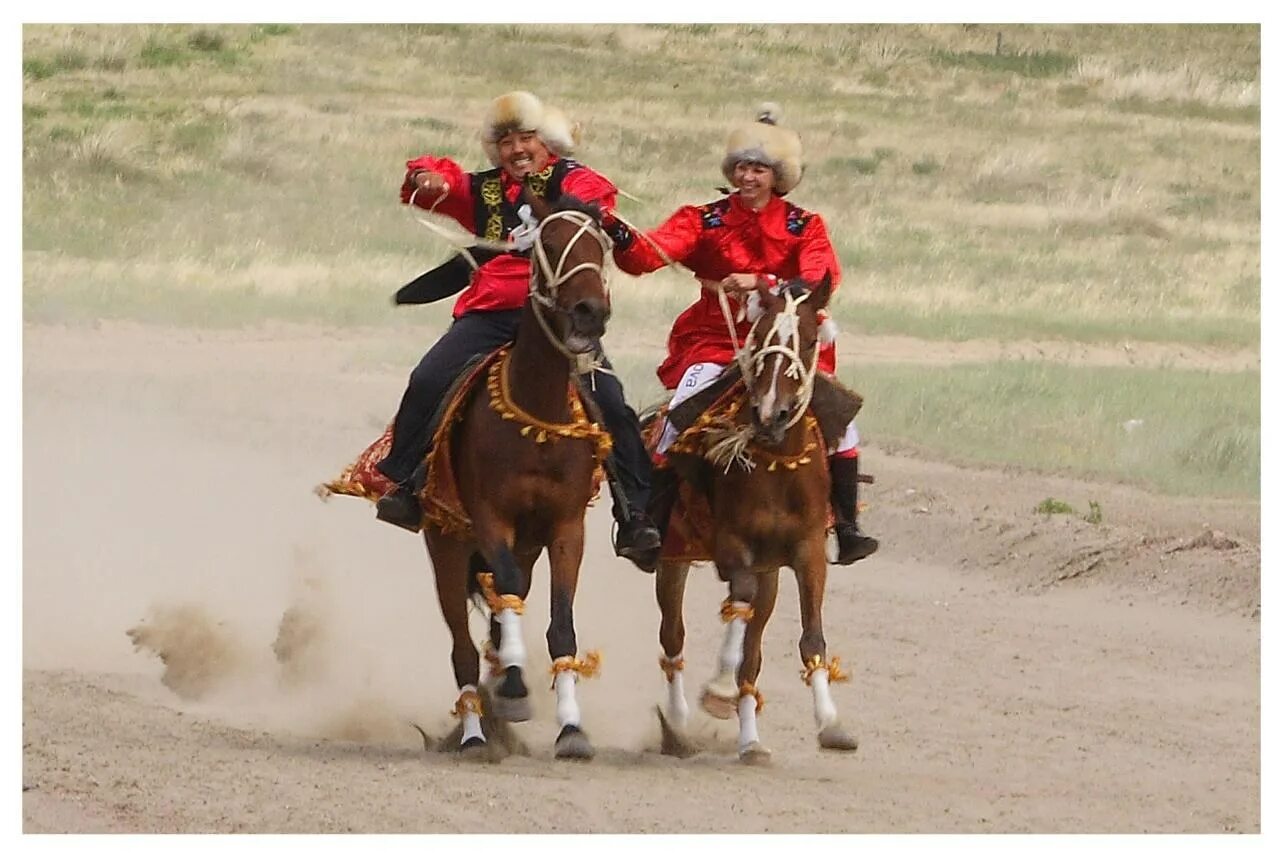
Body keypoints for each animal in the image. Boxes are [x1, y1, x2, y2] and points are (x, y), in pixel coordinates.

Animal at [424, 188, 614, 763]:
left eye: (602, 246)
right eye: (548, 244)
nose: (590, 312)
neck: (537, 420)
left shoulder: (566, 527)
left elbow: (560, 627)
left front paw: (571, 729)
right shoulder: (490, 518)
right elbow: (504, 591)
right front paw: (511, 687)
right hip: (446, 550)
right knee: (463, 649)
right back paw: (474, 733)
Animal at [655, 277, 855, 763]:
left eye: (808, 340)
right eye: (760, 335)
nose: (771, 412)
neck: (778, 461)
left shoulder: (806, 552)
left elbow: (809, 636)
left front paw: (830, 721)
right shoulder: (731, 545)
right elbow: (737, 604)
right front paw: (717, 688)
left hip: (770, 573)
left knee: (752, 655)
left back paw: (750, 741)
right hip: (674, 557)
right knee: (673, 638)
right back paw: (678, 726)